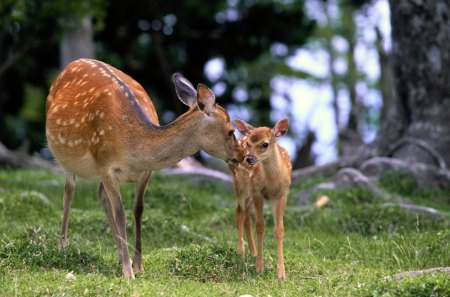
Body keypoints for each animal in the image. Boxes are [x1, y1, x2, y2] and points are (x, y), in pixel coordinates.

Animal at [45, 58, 243, 278]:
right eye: (231, 131)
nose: (241, 156)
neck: (134, 146)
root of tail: (72, 63)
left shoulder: (145, 171)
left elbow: (138, 210)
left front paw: (138, 265)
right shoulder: (105, 164)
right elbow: (120, 213)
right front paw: (127, 272)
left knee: (100, 196)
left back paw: (121, 255)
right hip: (65, 157)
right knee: (69, 192)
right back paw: (62, 246)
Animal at [229, 118, 292, 280]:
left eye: (265, 144)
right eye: (249, 144)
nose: (249, 158)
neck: (271, 181)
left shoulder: (282, 194)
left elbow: (279, 229)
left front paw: (281, 274)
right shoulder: (257, 191)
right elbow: (260, 226)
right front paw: (259, 267)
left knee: (246, 216)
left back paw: (253, 252)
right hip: (241, 184)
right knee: (240, 212)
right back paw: (241, 251)